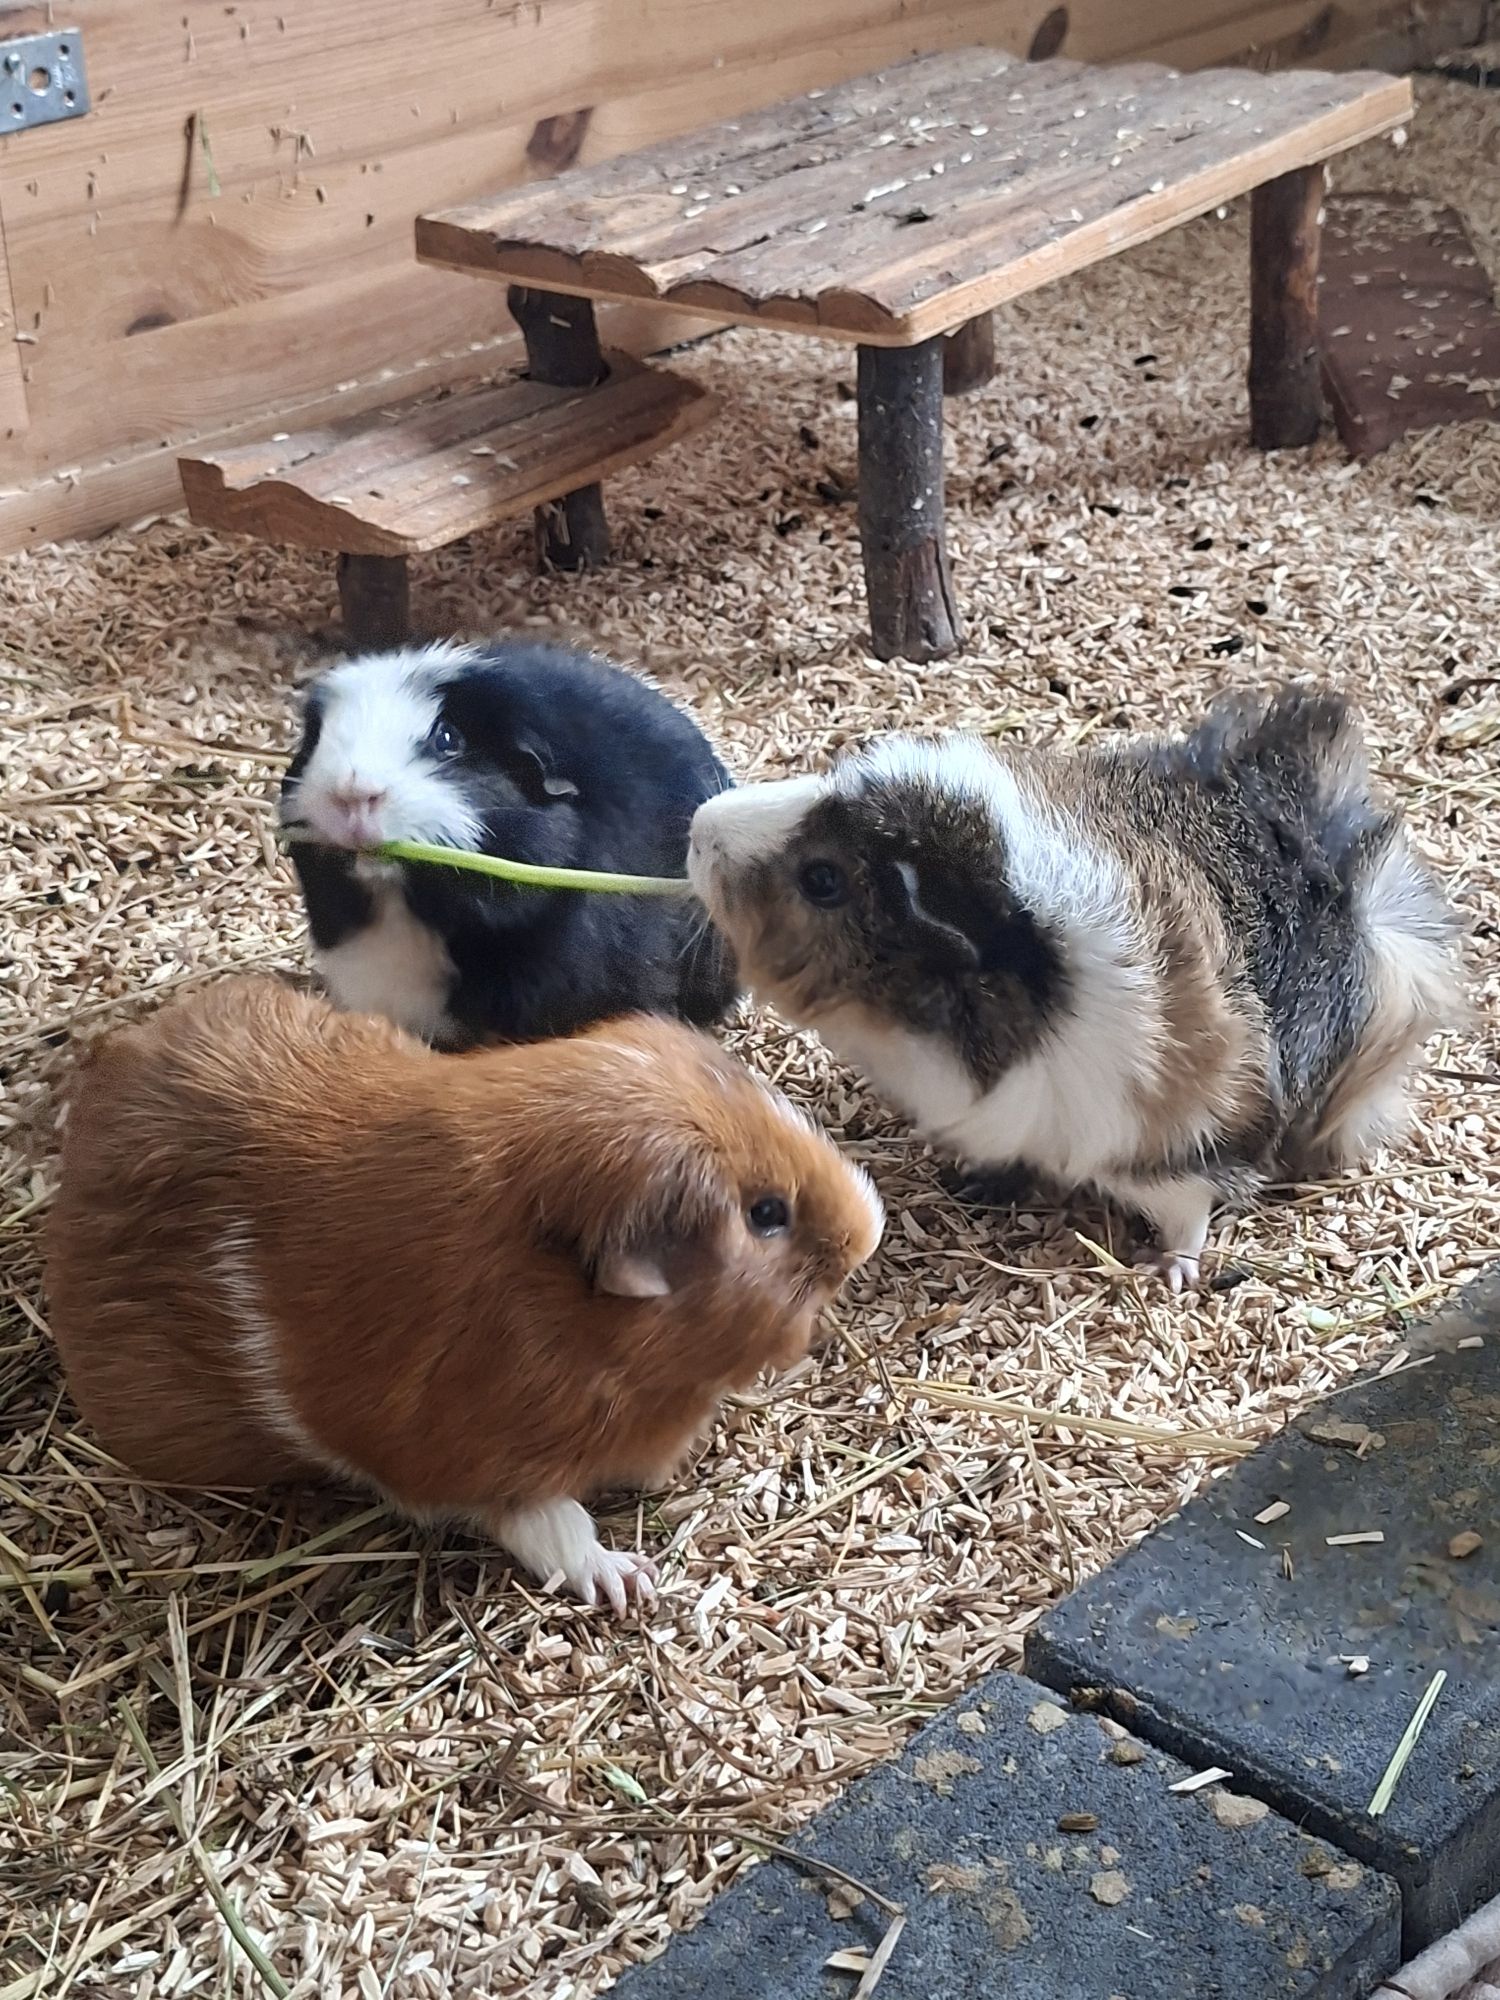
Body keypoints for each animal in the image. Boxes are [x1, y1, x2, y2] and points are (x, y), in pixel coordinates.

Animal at [686, 685, 1463, 1291]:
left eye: (822, 879)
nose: (698, 826)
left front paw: (1168, 1274)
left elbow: (1191, 1215)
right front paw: (973, 1178)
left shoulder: (1167, 1150)